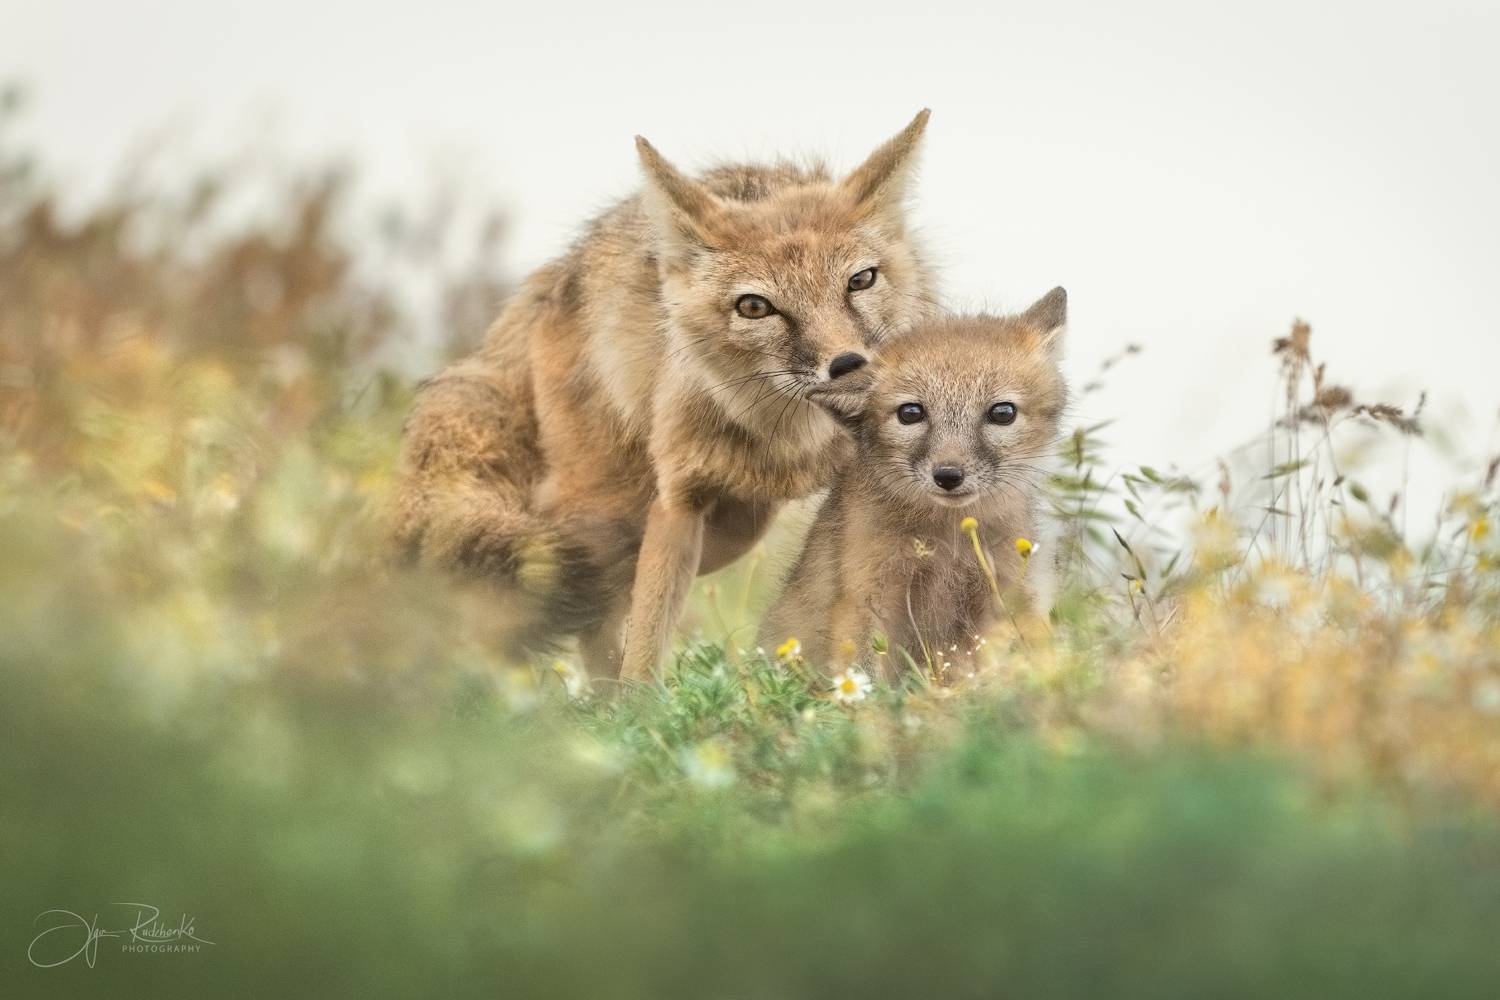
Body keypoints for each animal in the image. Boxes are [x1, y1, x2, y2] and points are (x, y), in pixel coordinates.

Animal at [391, 112, 937, 680]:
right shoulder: (678, 501)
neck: (796, 442)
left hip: (730, 526)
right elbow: (647, 643)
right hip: (614, 512)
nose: (847, 364)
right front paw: (638, 702)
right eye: (755, 307)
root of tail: (557, 273)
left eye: (861, 280)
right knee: (591, 600)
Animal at [758, 288, 1069, 677]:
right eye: (911, 413)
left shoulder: (1002, 593)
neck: (949, 544)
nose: (948, 475)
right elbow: (865, 674)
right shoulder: (866, 596)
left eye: (1002, 413)